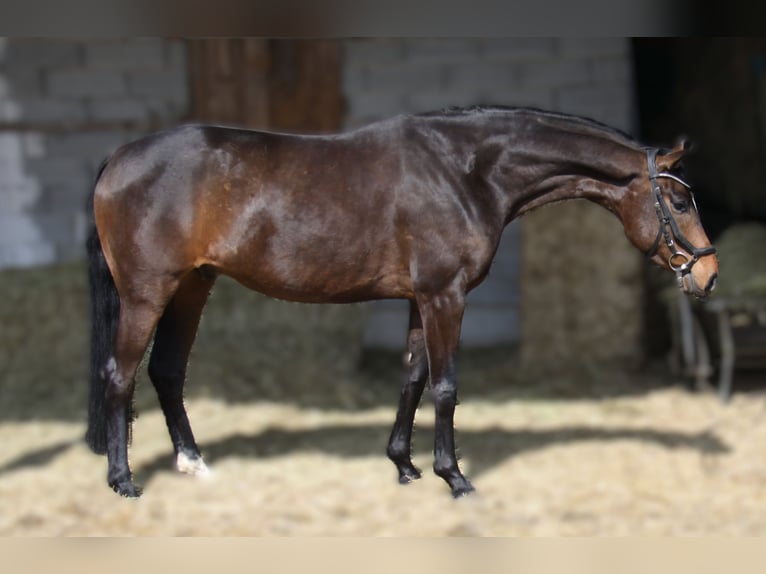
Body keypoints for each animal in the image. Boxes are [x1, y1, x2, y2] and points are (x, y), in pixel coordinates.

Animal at [85, 105, 719, 498]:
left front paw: (405, 465)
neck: (465, 170)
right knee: (119, 373)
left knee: (167, 371)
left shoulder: (421, 298)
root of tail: (119, 157)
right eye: (680, 202)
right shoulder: (445, 295)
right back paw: (122, 480)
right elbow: (445, 386)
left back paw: (193, 463)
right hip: (147, 292)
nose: (709, 275)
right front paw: (454, 476)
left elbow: (413, 378)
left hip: (194, 285)